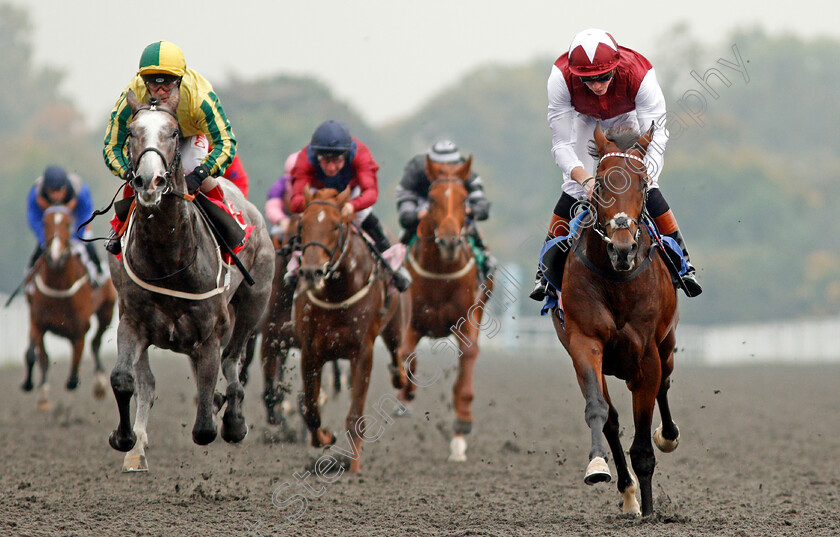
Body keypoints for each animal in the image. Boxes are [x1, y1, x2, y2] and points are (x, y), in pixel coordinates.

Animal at [22, 207, 116, 408]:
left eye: (68, 223)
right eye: (45, 223)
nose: (55, 256)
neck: (59, 286)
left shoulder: (80, 328)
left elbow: (74, 368)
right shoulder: (38, 323)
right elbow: (41, 357)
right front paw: (41, 393)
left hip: (107, 312)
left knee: (96, 342)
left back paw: (100, 384)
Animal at [106, 90, 274, 472]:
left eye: (172, 133)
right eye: (132, 132)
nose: (148, 181)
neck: (170, 258)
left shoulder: (210, 331)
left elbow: (205, 424)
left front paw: (223, 415)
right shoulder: (133, 321)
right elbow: (125, 379)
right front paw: (125, 439)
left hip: (254, 304)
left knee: (232, 363)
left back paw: (234, 421)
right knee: (148, 382)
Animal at [294, 186, 412, 472]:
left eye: (336, 225)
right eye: (302, 225)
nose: (312, 272)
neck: (336, 292)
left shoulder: (362, 353)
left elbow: (355, 416)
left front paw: (355, 467)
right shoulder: (310, 353)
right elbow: (311, 409)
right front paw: (325, 436)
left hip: (395, 327)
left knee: (397, 355)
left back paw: (401, 377)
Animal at [398, 155, 492, 460]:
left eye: (464, 198)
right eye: (432, 198)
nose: (450, 242)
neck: (441, 271)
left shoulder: (468, 318)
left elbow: (468, 358)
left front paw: (462, 425)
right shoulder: (412, 322)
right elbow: (406, 354)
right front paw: (406, 395)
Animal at [552, 123, 684, 516]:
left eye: (641, 183)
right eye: (599, 182)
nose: (622, 248)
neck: (616, 279)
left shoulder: (647, 355)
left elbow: (642, 444)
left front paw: (651, 512)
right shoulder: (584, 344)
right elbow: (600, 412)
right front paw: (600, 468)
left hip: (667, 343)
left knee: (665, 384)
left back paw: (668, 436)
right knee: (611, 417)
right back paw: (627, 493)